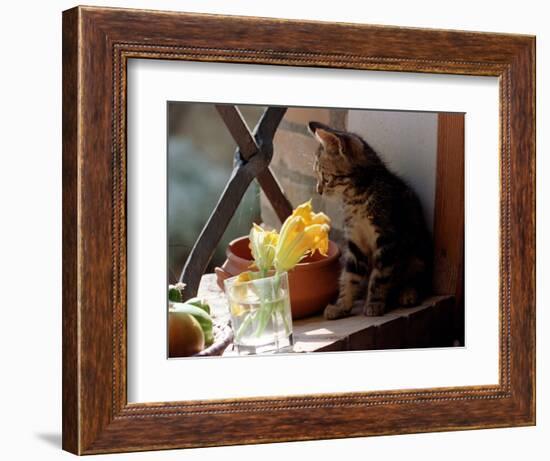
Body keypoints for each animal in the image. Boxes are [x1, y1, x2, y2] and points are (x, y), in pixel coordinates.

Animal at [310, 120, 432, 318]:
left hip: (418, 249)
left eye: (326, 177)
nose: (318, 190)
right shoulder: (355, 242)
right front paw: (341, 306)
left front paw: (374, 304)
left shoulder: (387, 238)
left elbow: (380, 276)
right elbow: (349, 276)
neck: (356, 198)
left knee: (418, 278)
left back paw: (408, 293)